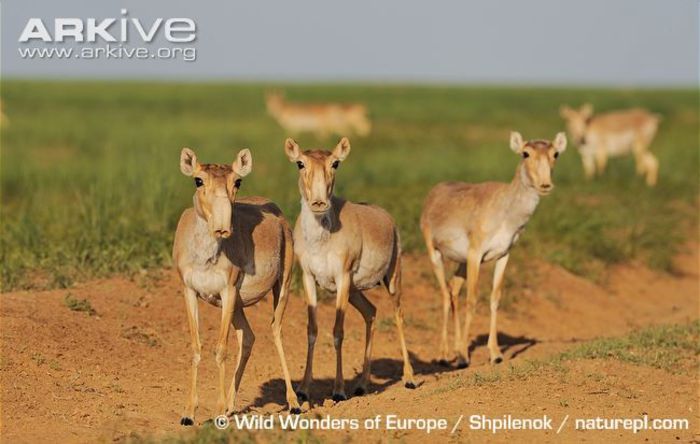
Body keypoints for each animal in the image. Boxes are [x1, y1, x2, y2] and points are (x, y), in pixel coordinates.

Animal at [174, 146, 300, 424]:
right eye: (198, 180)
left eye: (237, 181)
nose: (222, 227)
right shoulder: (190, 292)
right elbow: (196, 347)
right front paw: (188, 413)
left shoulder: (228, 291)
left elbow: (221, 349)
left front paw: (219, 411)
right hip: (238, 307)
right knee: (249, 336)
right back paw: (233, 405)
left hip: (282, 285)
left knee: (276, 330)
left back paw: (295, 402)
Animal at [284, 136, 416, 402]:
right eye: (300, 163)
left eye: (335, 163)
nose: (319, 202)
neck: (321, 240)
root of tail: (387, 218)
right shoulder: (309, 278)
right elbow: (312, 330)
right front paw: (303, 390)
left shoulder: (342, 277)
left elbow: (338, 331)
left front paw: (338, 390)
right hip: (356, 292)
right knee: (371, 312)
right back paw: (362, 385)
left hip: (392, 278)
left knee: (399, 315)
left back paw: (409, 378)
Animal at [418, 132, 568, 368]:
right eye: (525, 153)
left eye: (556, 153)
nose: (545, 184)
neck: (506, 211)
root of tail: (434, 193)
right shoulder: (475, 254)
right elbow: (472, 300)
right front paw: (463, 356)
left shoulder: (503, 255)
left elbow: (495, 299)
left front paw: (495, 354)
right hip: (435, 252)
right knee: (444, 292)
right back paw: (443, 355)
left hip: (461, 263)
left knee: (453, 289)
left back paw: (455, 348)